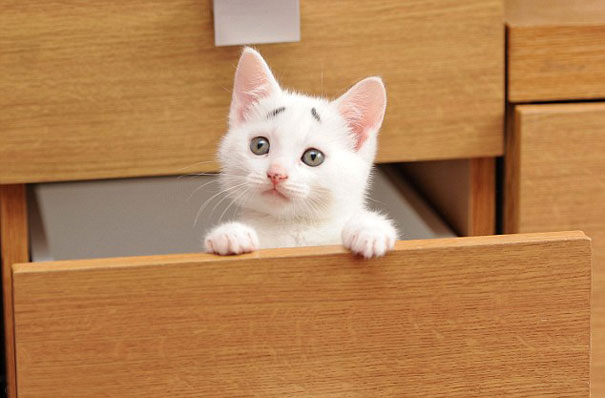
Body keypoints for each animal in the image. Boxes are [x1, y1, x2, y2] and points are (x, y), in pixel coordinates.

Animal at [205, 48, 398, 258]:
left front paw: (369, 230)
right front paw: (231, 234)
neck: (292, 226)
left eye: (313, 157)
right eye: (259, 145)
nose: (276, 173)